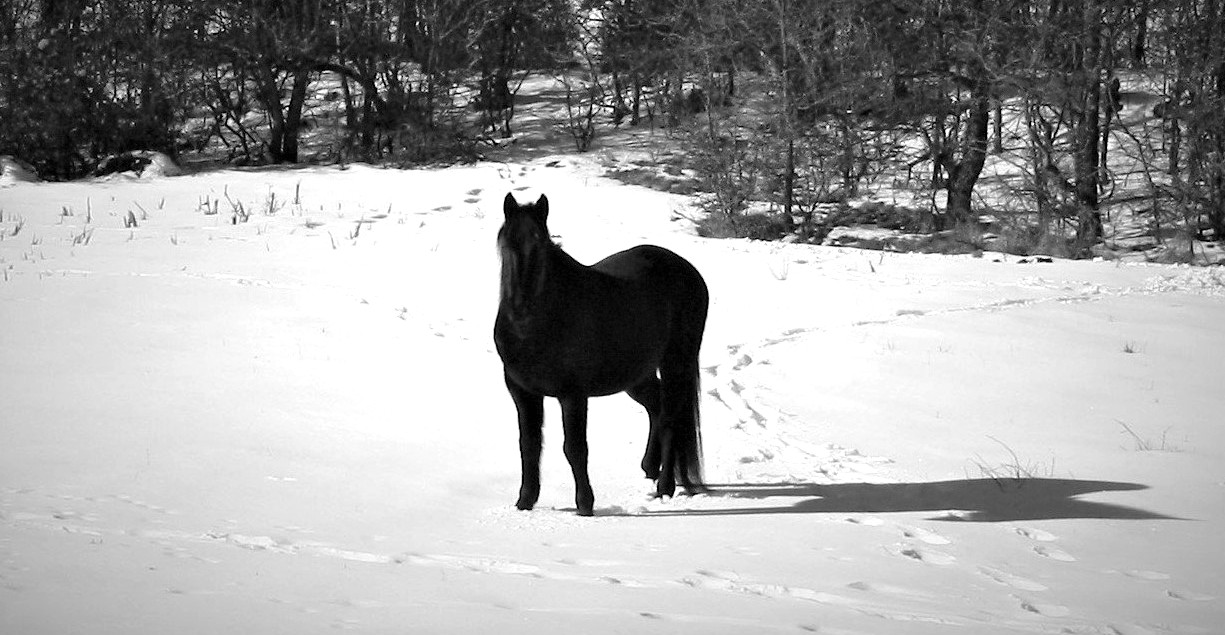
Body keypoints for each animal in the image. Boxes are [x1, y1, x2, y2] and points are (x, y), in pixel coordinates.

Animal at [494, 192, 709, 516]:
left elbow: (574, 448)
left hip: (677, 363)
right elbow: (529, 445)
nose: (521, 305)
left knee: (670, 417)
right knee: (656, 407)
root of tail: (689, 271)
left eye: (540, 243)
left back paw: (665, 486)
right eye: (507, 243)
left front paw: (585, 504)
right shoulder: (523, 392)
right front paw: (525, 501)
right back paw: (650, 468)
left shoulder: (572, 395)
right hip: (638, 374)